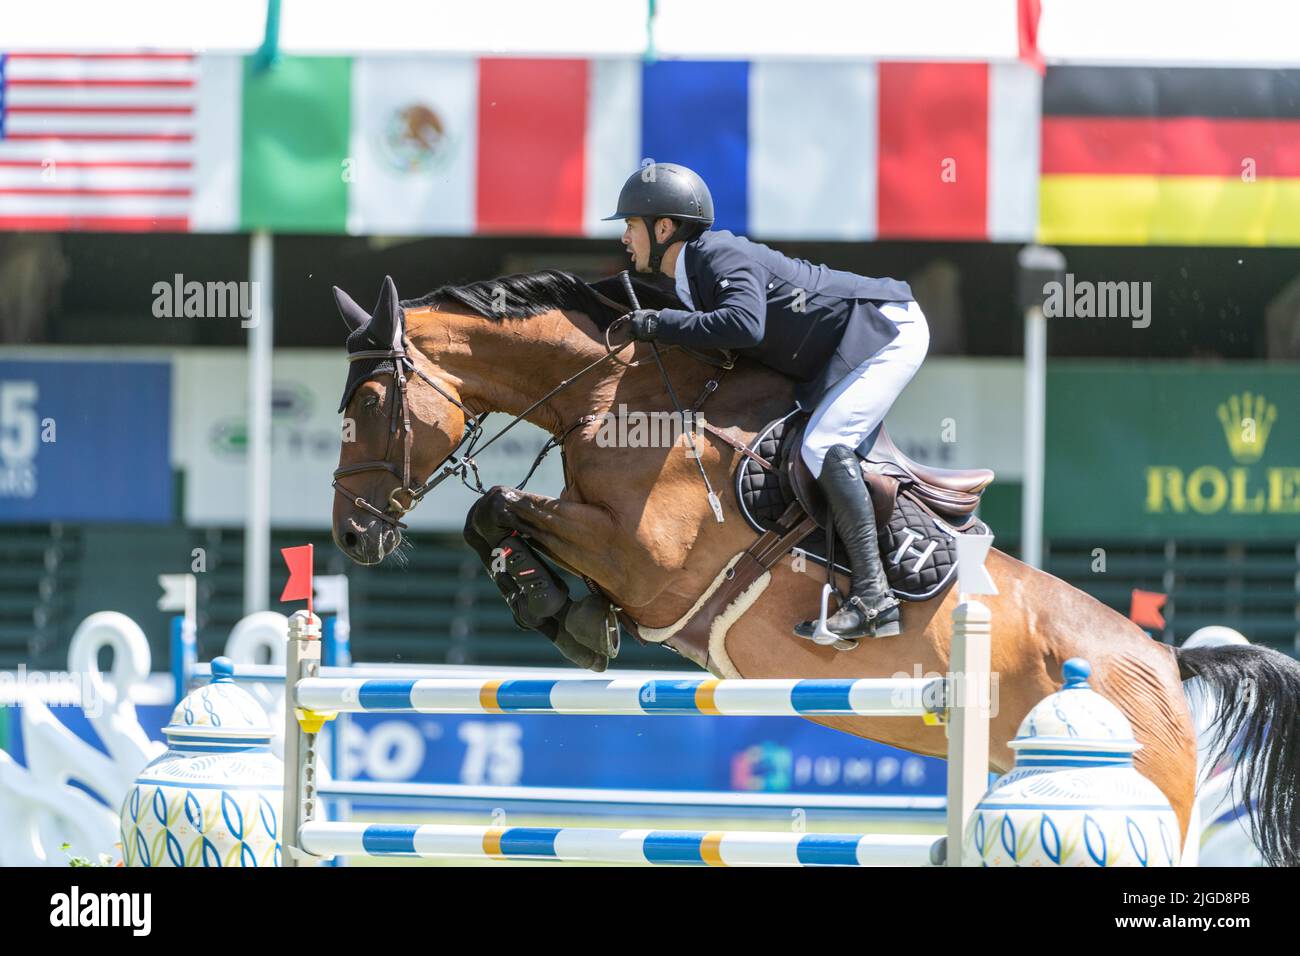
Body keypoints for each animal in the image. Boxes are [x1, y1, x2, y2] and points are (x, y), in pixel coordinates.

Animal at [332, 270, 1300, 868]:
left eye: (372, 402)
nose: (348, 535)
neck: (614, 399)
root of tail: (1168, 663)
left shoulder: (650, 563)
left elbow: (496, 504)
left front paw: (563, 615)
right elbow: (495, 515)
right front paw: (567, 615)